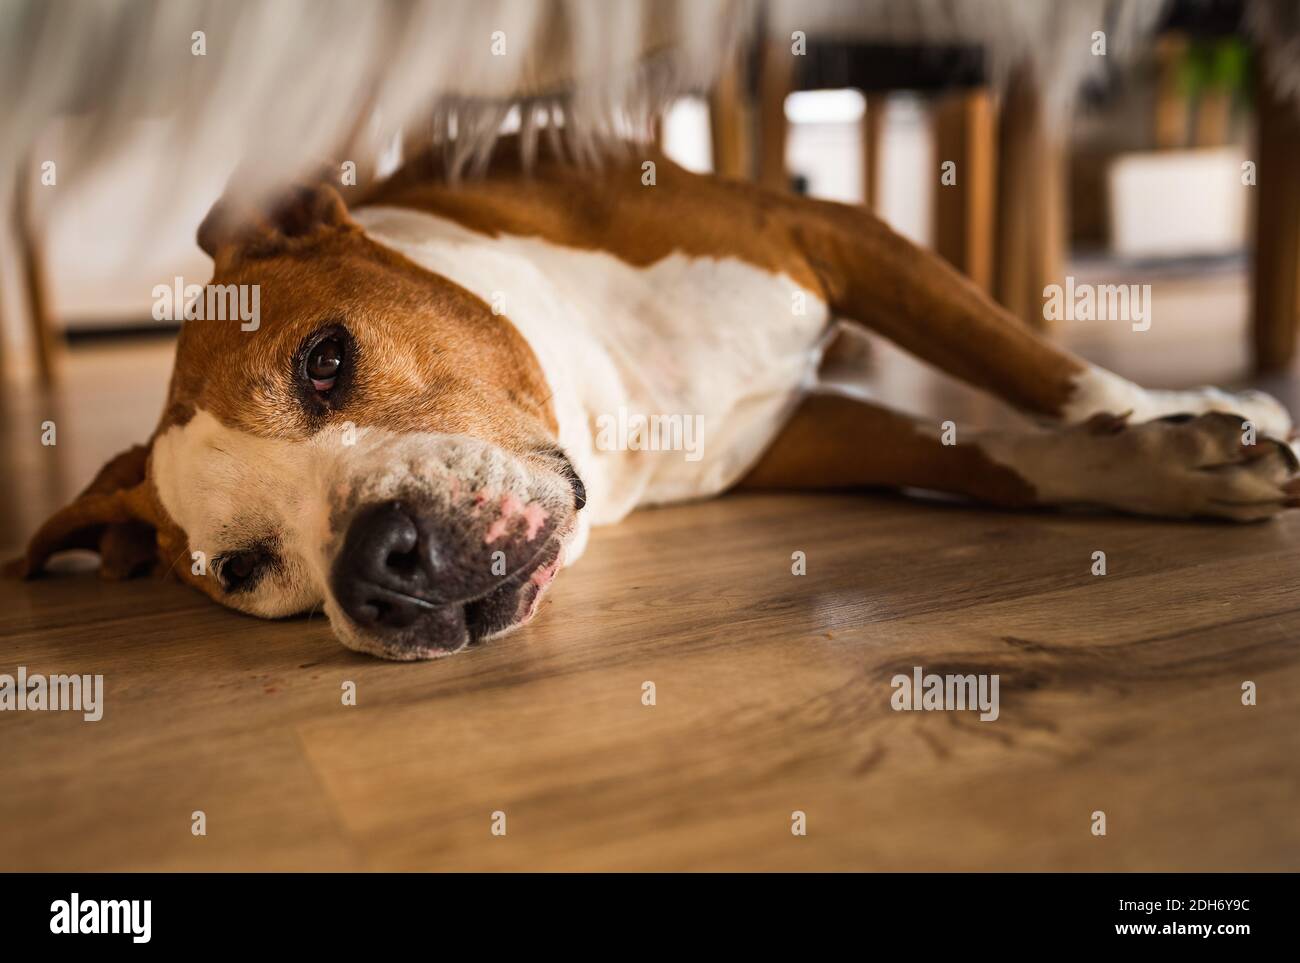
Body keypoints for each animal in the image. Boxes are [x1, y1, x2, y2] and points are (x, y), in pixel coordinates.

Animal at [12, 141, 1300, 660]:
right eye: (244, 570)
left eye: (323, 361)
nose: (383, 564)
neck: (611, 389)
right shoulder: (801, 433)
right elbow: (990, 457)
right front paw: (1166, 461)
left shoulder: (833, 230)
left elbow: (1046, 370)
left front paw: (1178, 418)